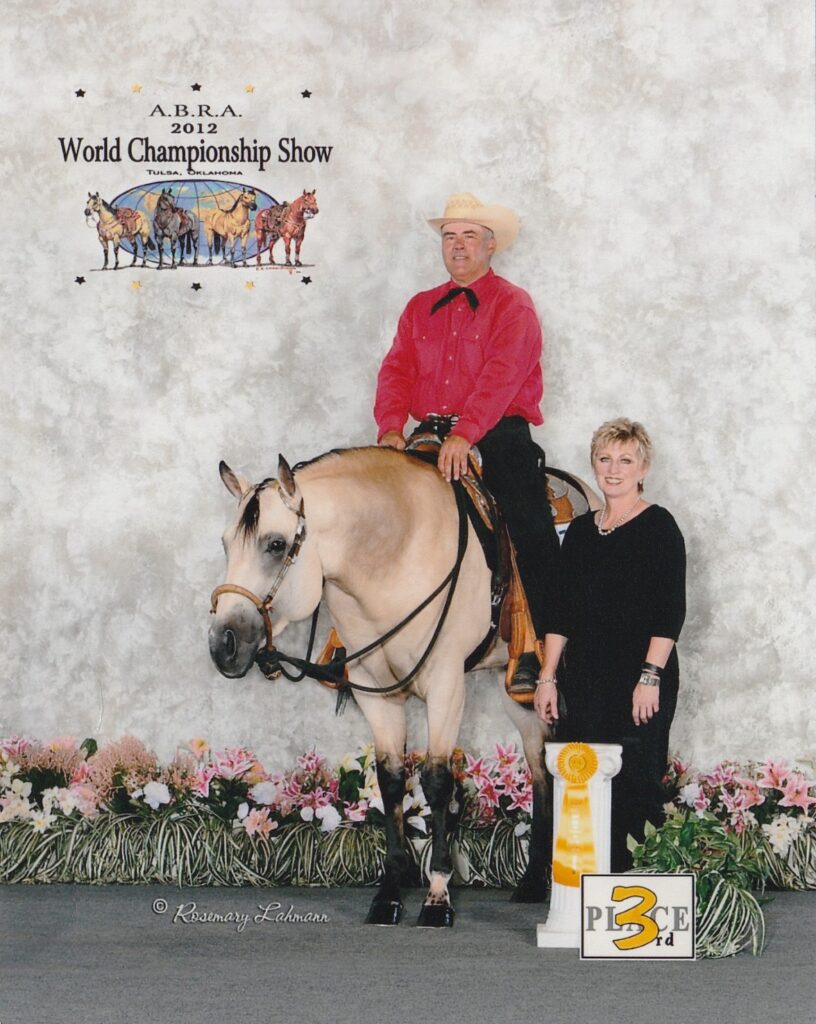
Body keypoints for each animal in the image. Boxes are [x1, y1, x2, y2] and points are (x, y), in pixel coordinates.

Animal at [206, 448, 593, 929]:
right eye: (226, 544)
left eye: (276, 544)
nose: (223, 644)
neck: (394, 556)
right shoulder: (374, 689)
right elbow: (391, 780)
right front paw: (389, 893)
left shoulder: (446, 683)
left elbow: (437, 780)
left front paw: (438, 896)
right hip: (520, 694)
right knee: (540, 768)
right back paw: (532, 882)